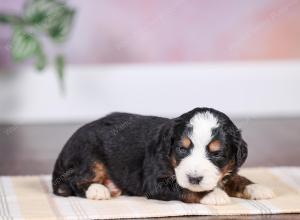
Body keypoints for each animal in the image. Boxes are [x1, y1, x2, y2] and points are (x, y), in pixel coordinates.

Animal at [51, 107, 274, 205]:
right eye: (182, 149)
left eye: (216, 153)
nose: (194, 178)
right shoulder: (155, 181)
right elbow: (184, 188)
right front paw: (213, 194)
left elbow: (235, 178)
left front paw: (257, 188)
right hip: (89, 155)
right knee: (76, 180)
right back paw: (98, 190)